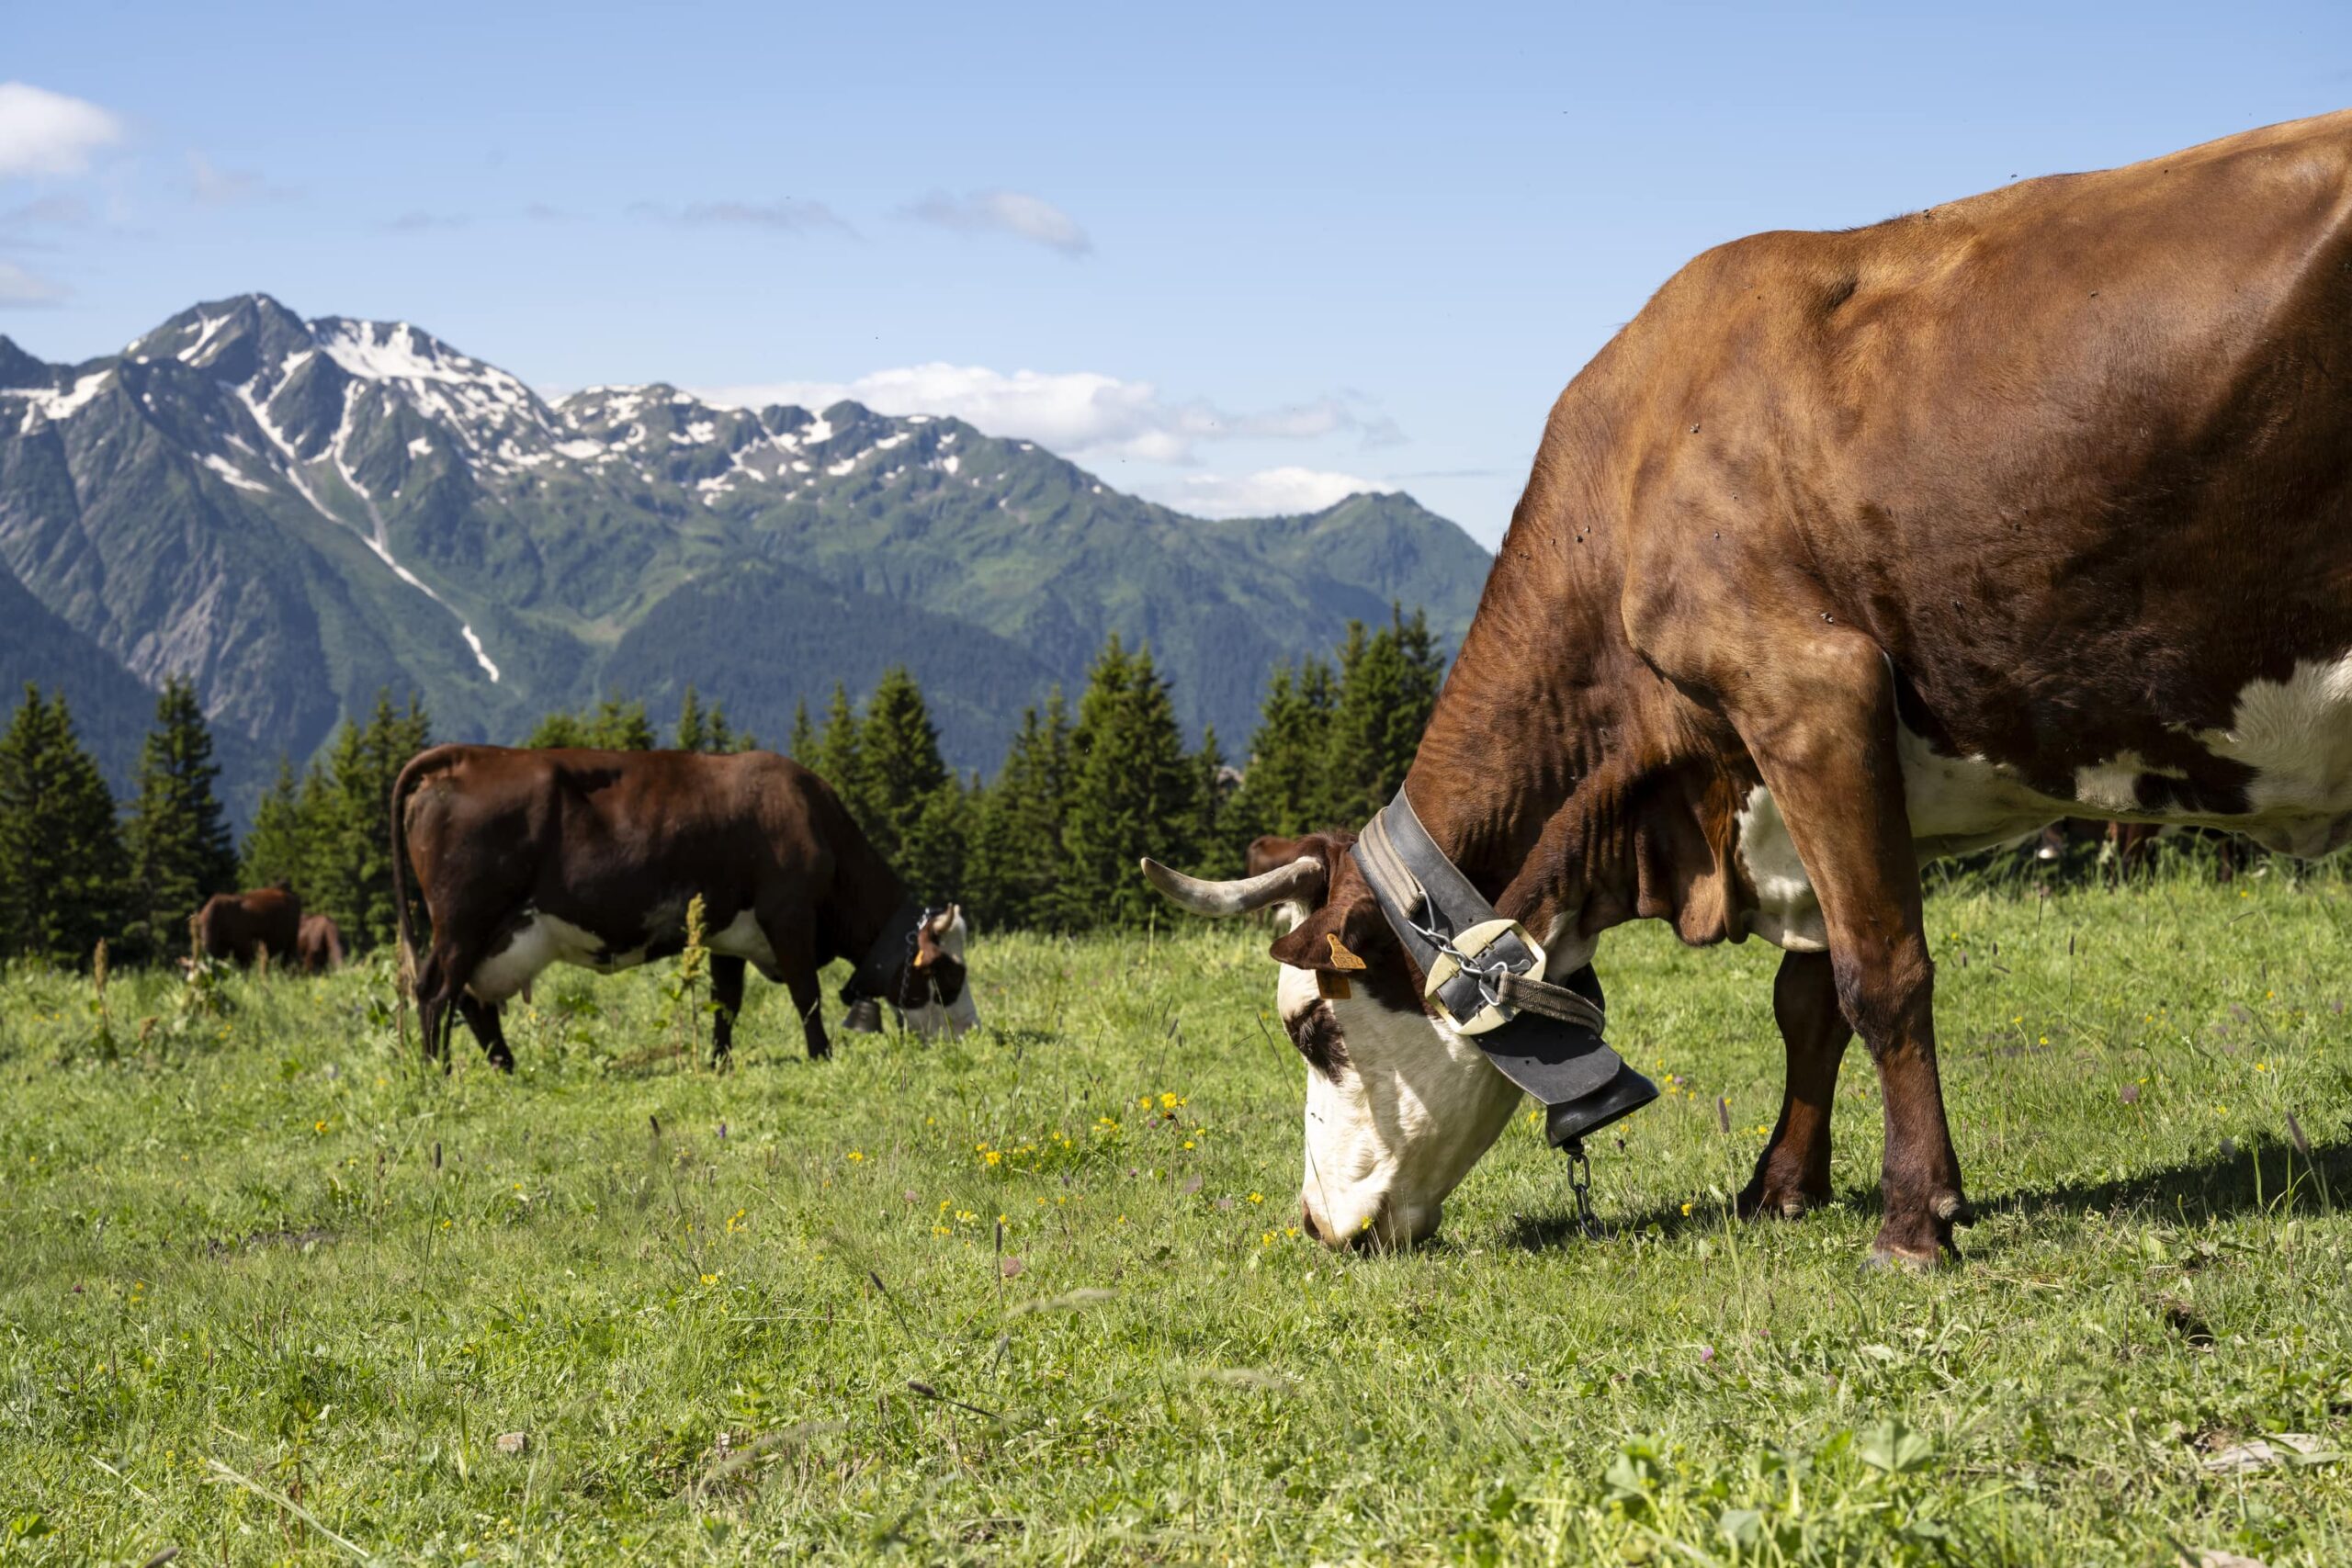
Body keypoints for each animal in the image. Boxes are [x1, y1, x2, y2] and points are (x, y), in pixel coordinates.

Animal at [390, 747, 978, 1066]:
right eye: (949, 974)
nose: (971, 1033)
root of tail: (466, 757)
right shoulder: (789, 915)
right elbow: (806, 994)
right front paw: (822, 1054)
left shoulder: (726, 934)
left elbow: (726, 1001)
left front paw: (720, 1061)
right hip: (462, 922)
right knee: (436, 992)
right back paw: (436, 1071)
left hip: (493, 935)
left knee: (473, 1002)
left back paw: (506, 1067)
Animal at [1148, 116, 2352, 1279]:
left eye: (1313, 1029)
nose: (1319, 1228)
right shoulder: (1784, 771)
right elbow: (1805, 1001)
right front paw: (1780, 1188)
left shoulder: (1810, 697)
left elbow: (1880, 975)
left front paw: (1913, 1223)